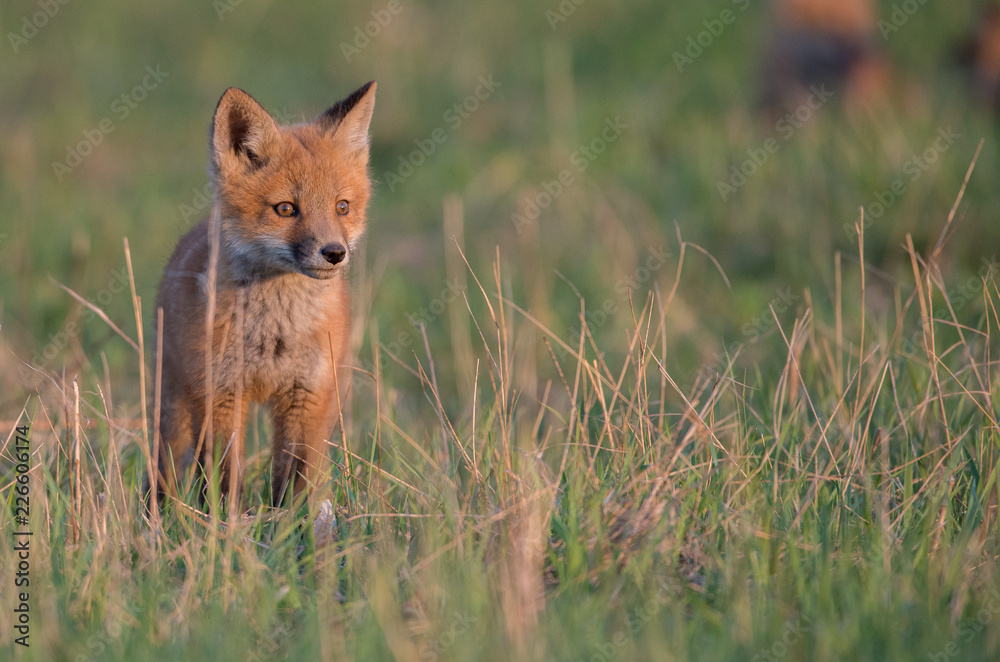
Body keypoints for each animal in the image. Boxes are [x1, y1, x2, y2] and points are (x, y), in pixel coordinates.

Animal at [151, 81, 376, 510]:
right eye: (286, 209)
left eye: (342, 207)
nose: (335, 253)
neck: (276, 335)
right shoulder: (219, 395)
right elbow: (224, 478)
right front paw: (225, 524)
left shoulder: (308, 396)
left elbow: (295, 479)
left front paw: (290, 524)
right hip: (172, 403)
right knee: (163, 468)